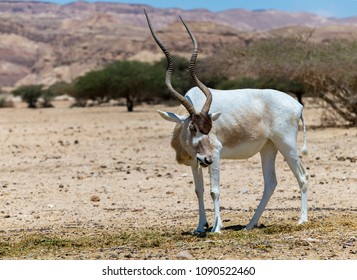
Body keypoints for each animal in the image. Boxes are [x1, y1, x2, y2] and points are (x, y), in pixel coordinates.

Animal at [143, 10, 308, 233]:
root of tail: (297, 105)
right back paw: (249, 225)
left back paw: (302, 220)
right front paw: (200, 227)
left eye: (209, 128)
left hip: (286, 144)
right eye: (192, 127)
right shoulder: (195, 160)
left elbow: (214, 190)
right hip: (269, 147)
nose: (207, 160)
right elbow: (199, 190)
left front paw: (216, 228)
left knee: (302, 177)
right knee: (270, 182)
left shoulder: (216, 153)